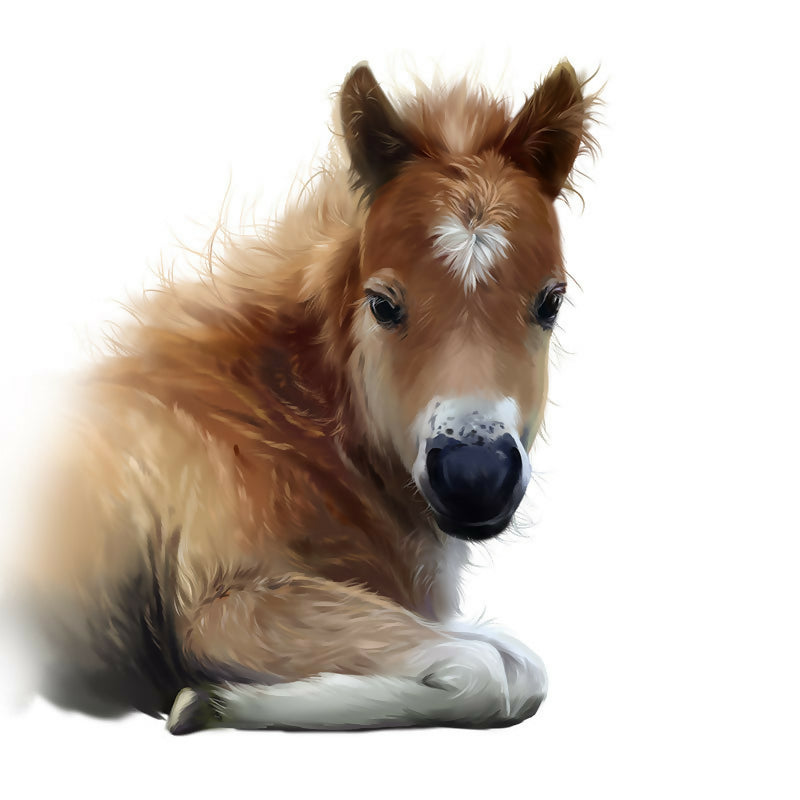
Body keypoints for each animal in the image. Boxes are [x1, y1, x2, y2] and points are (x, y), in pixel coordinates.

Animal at [18, 59, 599, 733]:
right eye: (382, 304)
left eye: (550, 302)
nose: (475, 478)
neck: (273, 429)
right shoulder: (221, 609)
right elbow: (490, 672)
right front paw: (207, 700)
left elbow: (511, 662)